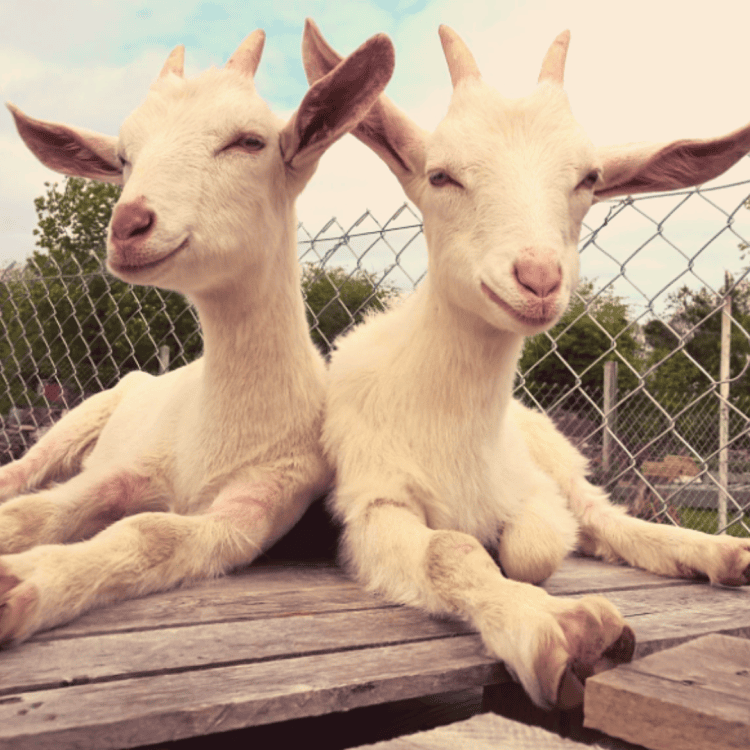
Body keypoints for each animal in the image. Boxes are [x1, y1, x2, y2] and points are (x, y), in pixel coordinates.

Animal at [0, 28, 394, 644]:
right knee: (22, 471)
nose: (129, 225)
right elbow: (36, 511)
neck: (217, 434)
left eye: (249, 141)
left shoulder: (261, 502)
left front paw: (22, 584)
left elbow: (152, 532)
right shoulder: (124, 468)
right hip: (82, 415)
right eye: (123, 157)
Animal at [303, 20, 750, 709]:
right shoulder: (369, 503)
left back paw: (721, 553)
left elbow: (536, 548)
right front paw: (557, 629)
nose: (538, 278)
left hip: (557, 455)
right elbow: (449, 550)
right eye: (441, 175)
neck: (454, 424)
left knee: (605, 518)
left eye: (589, 178)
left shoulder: (533, 490)